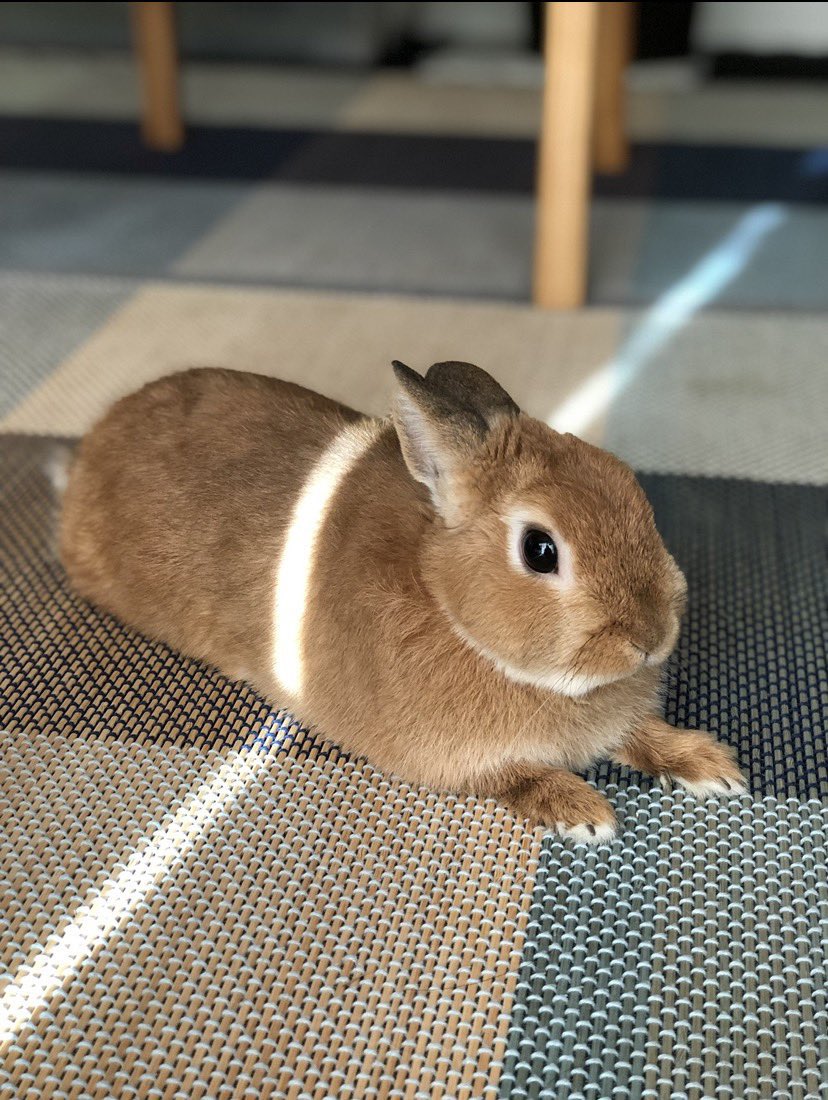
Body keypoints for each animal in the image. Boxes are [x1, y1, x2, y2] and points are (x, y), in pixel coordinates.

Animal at [60, 361, 746, 841]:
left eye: (630, 488)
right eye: (540, 550)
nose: (651, 636)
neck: (446, 600)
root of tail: (95, 446)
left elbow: (642, 734)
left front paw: (710, 764)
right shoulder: (454, 760)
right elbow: (516, 776)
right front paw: (582, 812)